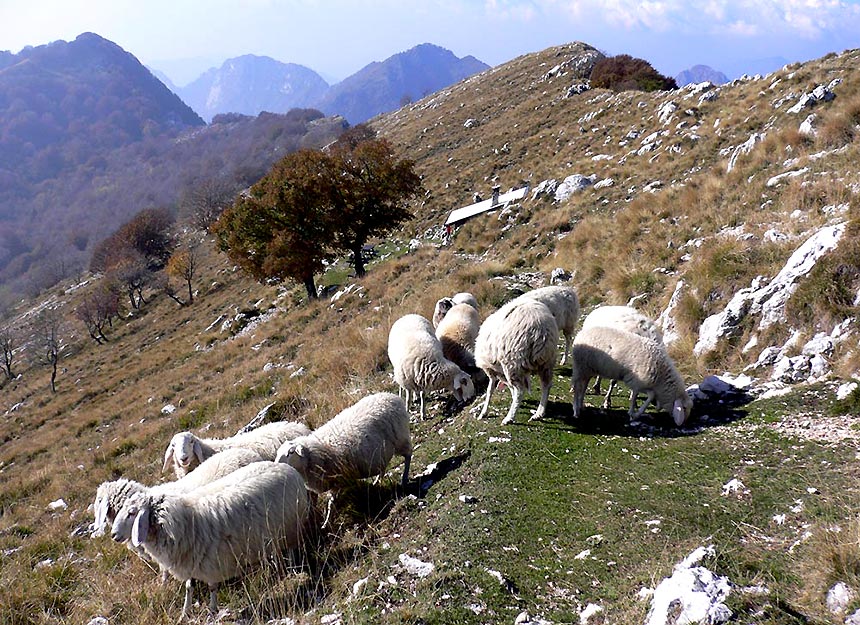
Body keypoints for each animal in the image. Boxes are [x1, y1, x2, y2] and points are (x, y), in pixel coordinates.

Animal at [112, 460, 310, 616]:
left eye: (132, 513)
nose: (113, 535)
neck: (183, 520)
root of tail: (285, 467)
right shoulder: (191, 559)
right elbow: (189, 587)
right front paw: (185, 612)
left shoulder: (213, 561)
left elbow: (212, 587)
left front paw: (212, 610)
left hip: (291, 527)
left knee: (292, 548)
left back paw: (293, 569)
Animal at [276, 390, 410, 492]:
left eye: (290, 453)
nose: (277, 465)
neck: (312, 453)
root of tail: (392, 396)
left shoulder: (339, 479)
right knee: (383, 467)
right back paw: (377, 481)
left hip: (401, 438)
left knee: (408, 456)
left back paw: (404, 478)